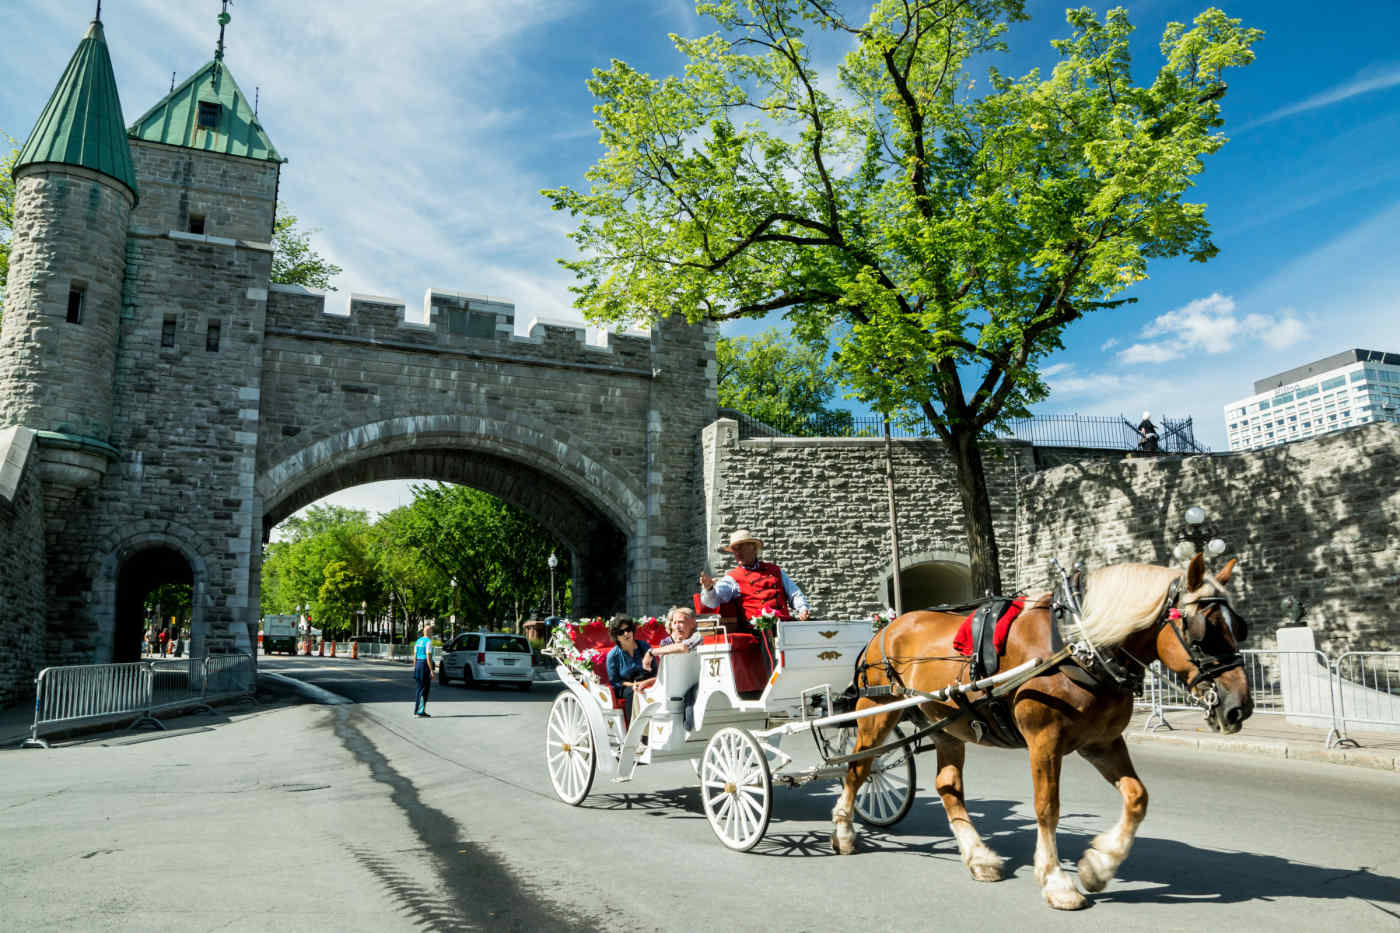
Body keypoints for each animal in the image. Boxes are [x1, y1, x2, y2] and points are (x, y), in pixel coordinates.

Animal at [823, 551, 1254, 907]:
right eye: (1203, 631)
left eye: (1239, 627)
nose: (1239, 707)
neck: (1076, 645)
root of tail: (888, 627)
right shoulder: (1044, 740)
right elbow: (1047, 807)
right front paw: (1056, 880)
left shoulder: (1102, 742)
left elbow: (1137, 797)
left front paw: (1098, 865)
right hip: (876, 712)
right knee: (859, 769)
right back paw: (843, 833)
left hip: (945, 724)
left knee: (947, 787)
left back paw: (979, 856)